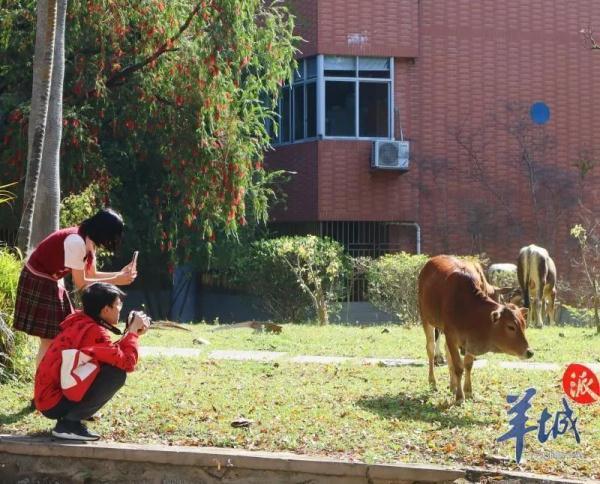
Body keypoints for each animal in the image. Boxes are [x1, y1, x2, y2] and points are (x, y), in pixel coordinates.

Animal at [420, 255, 532, 402]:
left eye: (523, 325)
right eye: (511, 327)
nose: (529, 352)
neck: (467, 307)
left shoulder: (469, 339)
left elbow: (467, 364)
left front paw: (468, 391)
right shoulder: (451, 335)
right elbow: (458, 367)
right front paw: (459, 397)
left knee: (447, 353)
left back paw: (452, 385)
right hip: (426, 319)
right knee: (431, 349)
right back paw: (433, 382)